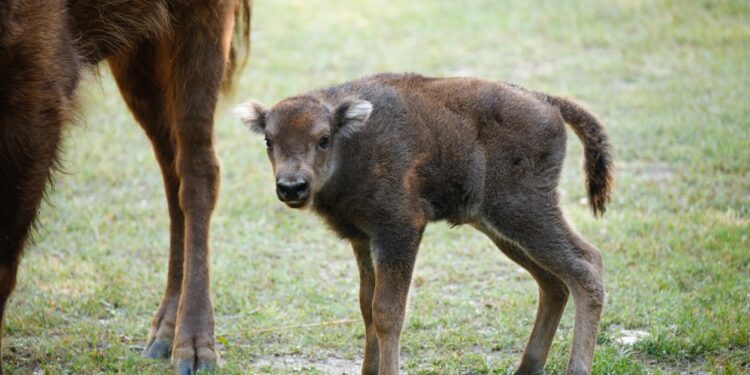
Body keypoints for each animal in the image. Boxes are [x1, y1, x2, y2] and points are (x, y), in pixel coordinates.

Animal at [238, 73, 612, 375]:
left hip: (524, 211)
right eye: (269, 140)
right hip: (501, 229)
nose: (292, 187)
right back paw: (527, 367)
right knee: (554, 283)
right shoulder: (363, 240)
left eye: (323, 139)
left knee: (586, 265)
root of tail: (548, 102)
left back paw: (576, 368)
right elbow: (366, 307)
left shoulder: (399, 231)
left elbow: (387, 312)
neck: (354, 142)